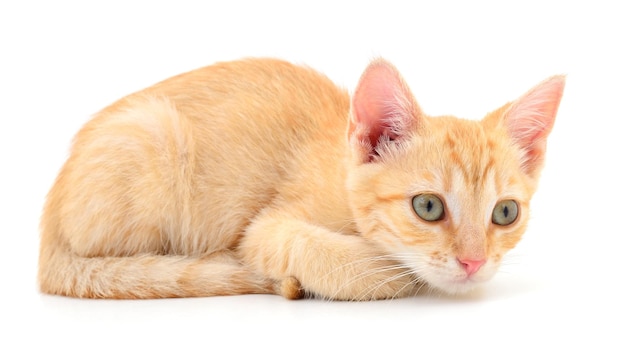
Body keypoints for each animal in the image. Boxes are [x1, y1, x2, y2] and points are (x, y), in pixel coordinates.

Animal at [40, 57, 564, 300]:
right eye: (428, 206)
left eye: (505, 213)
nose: (474, 263)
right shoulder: (266, 228)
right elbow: (351, 264)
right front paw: (390, 270)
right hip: (154, 135)